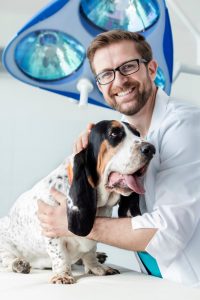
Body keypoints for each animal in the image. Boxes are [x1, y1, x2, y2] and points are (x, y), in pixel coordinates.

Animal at [0, 119, 155, 284]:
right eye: (114, 133)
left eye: (137, 133)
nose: (151, 149)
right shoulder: (52, 233)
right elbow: (60, 255)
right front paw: (62, 275)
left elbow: (90, 252)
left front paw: (97, 267)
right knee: (7, 259)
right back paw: (19, 264)